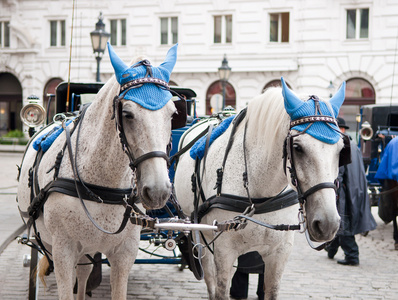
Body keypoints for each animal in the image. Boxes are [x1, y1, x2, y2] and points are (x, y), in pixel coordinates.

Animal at [17, 42, 179, 300]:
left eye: (173, 113)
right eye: (127, 114)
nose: (158, 191)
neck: (104, 187)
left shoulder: (124, 254)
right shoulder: (63, 251)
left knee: (83, 273)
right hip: (48, 241)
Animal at [176, 79, 346, 300]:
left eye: (341, 149)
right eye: (298, 148)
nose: (328, 224)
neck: (260, 191)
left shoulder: (279, 253)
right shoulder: (224, 251)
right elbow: (221, 289)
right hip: (201, 232)